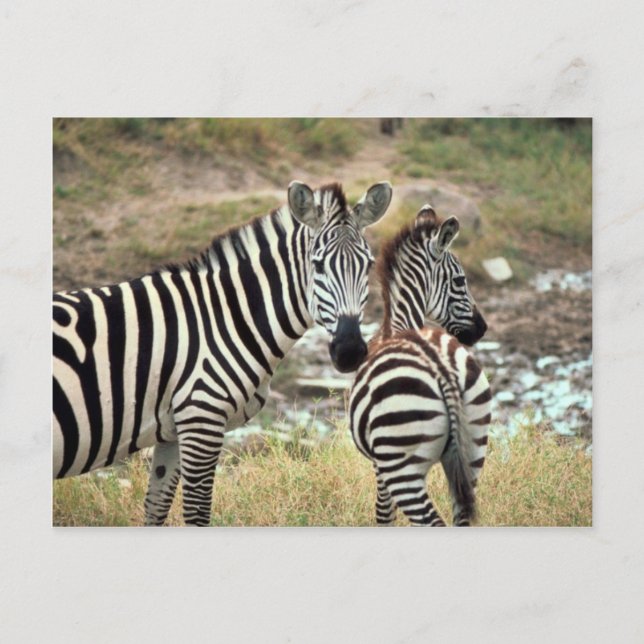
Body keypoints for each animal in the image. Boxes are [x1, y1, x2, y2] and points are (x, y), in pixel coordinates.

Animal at [53, 180, 393, 526]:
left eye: (368, 265)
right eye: (318, 264)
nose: (350, 351)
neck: (224, 317)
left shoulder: (173, 430)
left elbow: (157, 506)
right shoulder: (201, 416)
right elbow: (198, 512)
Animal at [349, 205, 491, 526]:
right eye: (461, 281)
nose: (482, 329)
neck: (399, 326)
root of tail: (444, 371)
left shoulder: (380, 463)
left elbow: (383, 514)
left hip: (402, 466)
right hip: (475, 448)